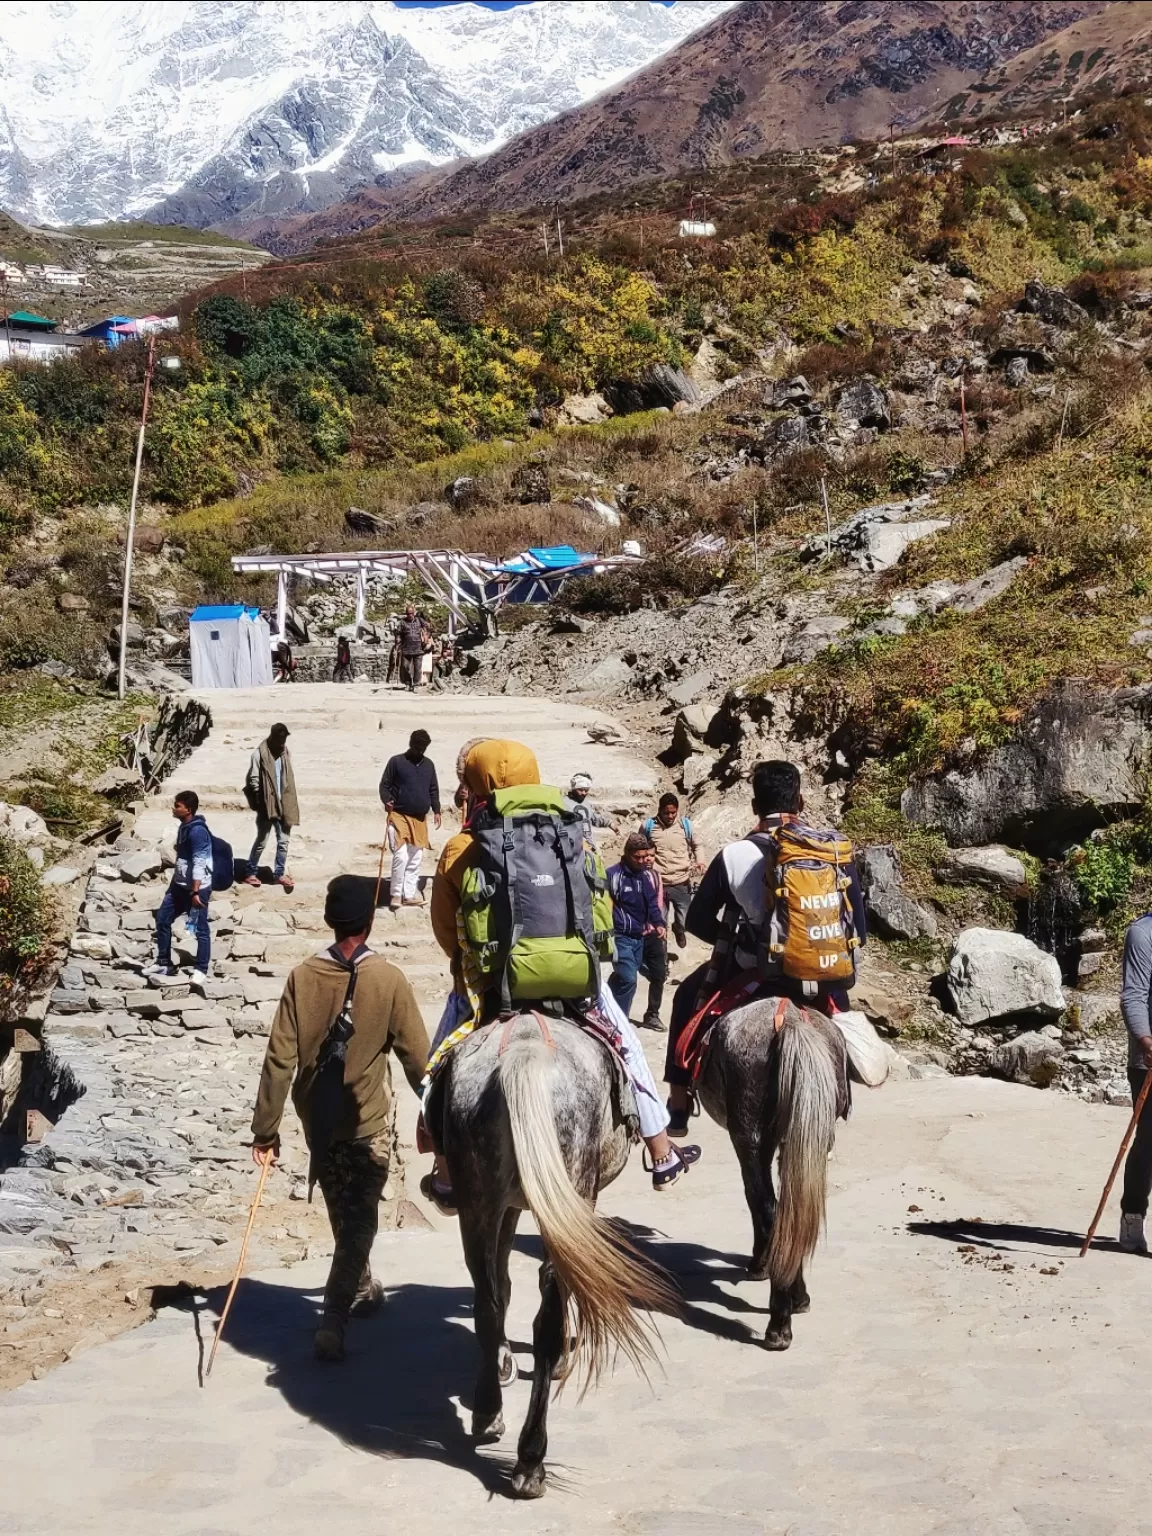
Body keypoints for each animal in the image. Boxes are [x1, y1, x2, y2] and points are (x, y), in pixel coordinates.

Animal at [436, 1013, 681, 1492]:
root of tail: (522, 1052)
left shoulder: (510, 1205)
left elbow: (502, 1285)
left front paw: (503, 1364)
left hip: (477, 1201)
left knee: (487, 1300)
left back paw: (487, 1413)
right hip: (571, 1187)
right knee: (548, 1310)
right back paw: (531, 1460)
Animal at [694, 995, 847, 1345]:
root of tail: (789, 1020)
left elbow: (756, 1201)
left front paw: (760, 1265)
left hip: (749, 1136)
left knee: (768, 1206)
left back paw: (779, 1322)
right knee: (795, 1210)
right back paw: (796, 1298)